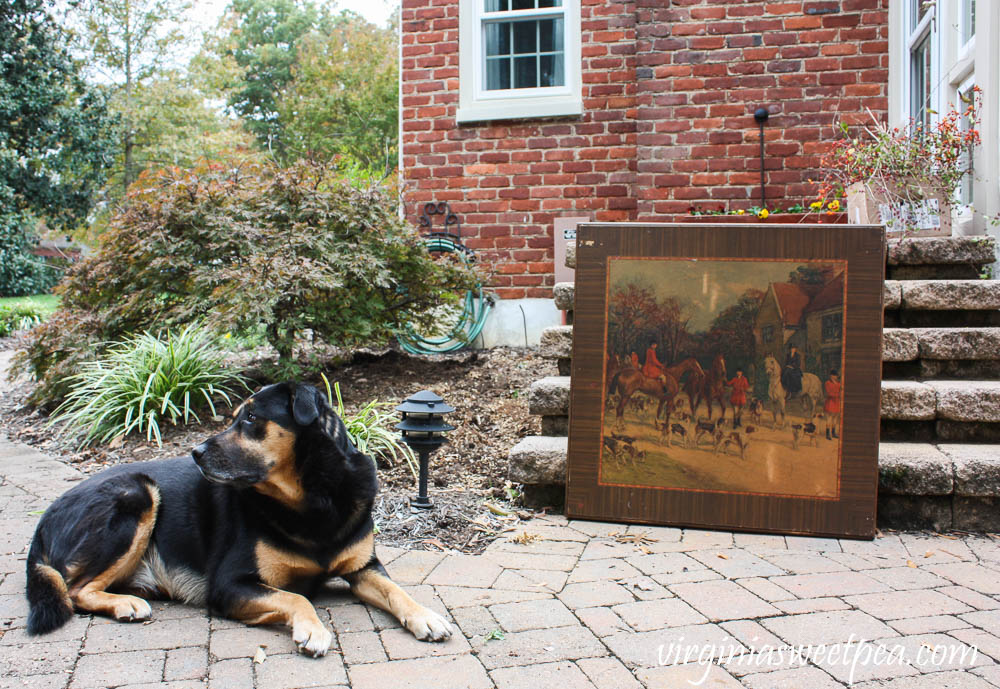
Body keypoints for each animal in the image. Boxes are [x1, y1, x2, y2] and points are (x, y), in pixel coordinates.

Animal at [24, 382, 454, 656]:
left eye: (249, 419)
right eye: (236, 417)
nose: (195, 452)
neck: (314, 498)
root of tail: (45, 518)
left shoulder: (364, 567)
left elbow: (396, 590)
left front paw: (426, 616)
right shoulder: (228, 585)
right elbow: (296, 596)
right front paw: (312, 629)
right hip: (138, 493)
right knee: (75, 589)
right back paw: (125, 604)